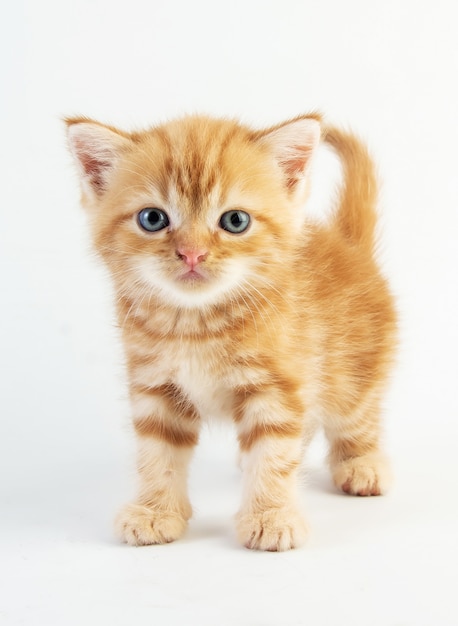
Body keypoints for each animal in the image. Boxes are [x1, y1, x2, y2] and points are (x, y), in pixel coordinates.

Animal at [65, 113, 398, 552]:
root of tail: (350, 246)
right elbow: (157, 454)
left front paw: (271, 516)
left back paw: (362, 464)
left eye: (235, 221)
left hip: (351, 372)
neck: (195, 324)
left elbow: (273, 452)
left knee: (357, 416)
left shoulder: (276, 387)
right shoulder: (155, 387)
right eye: (152, 219)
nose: (192, 254)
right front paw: (156, 511)